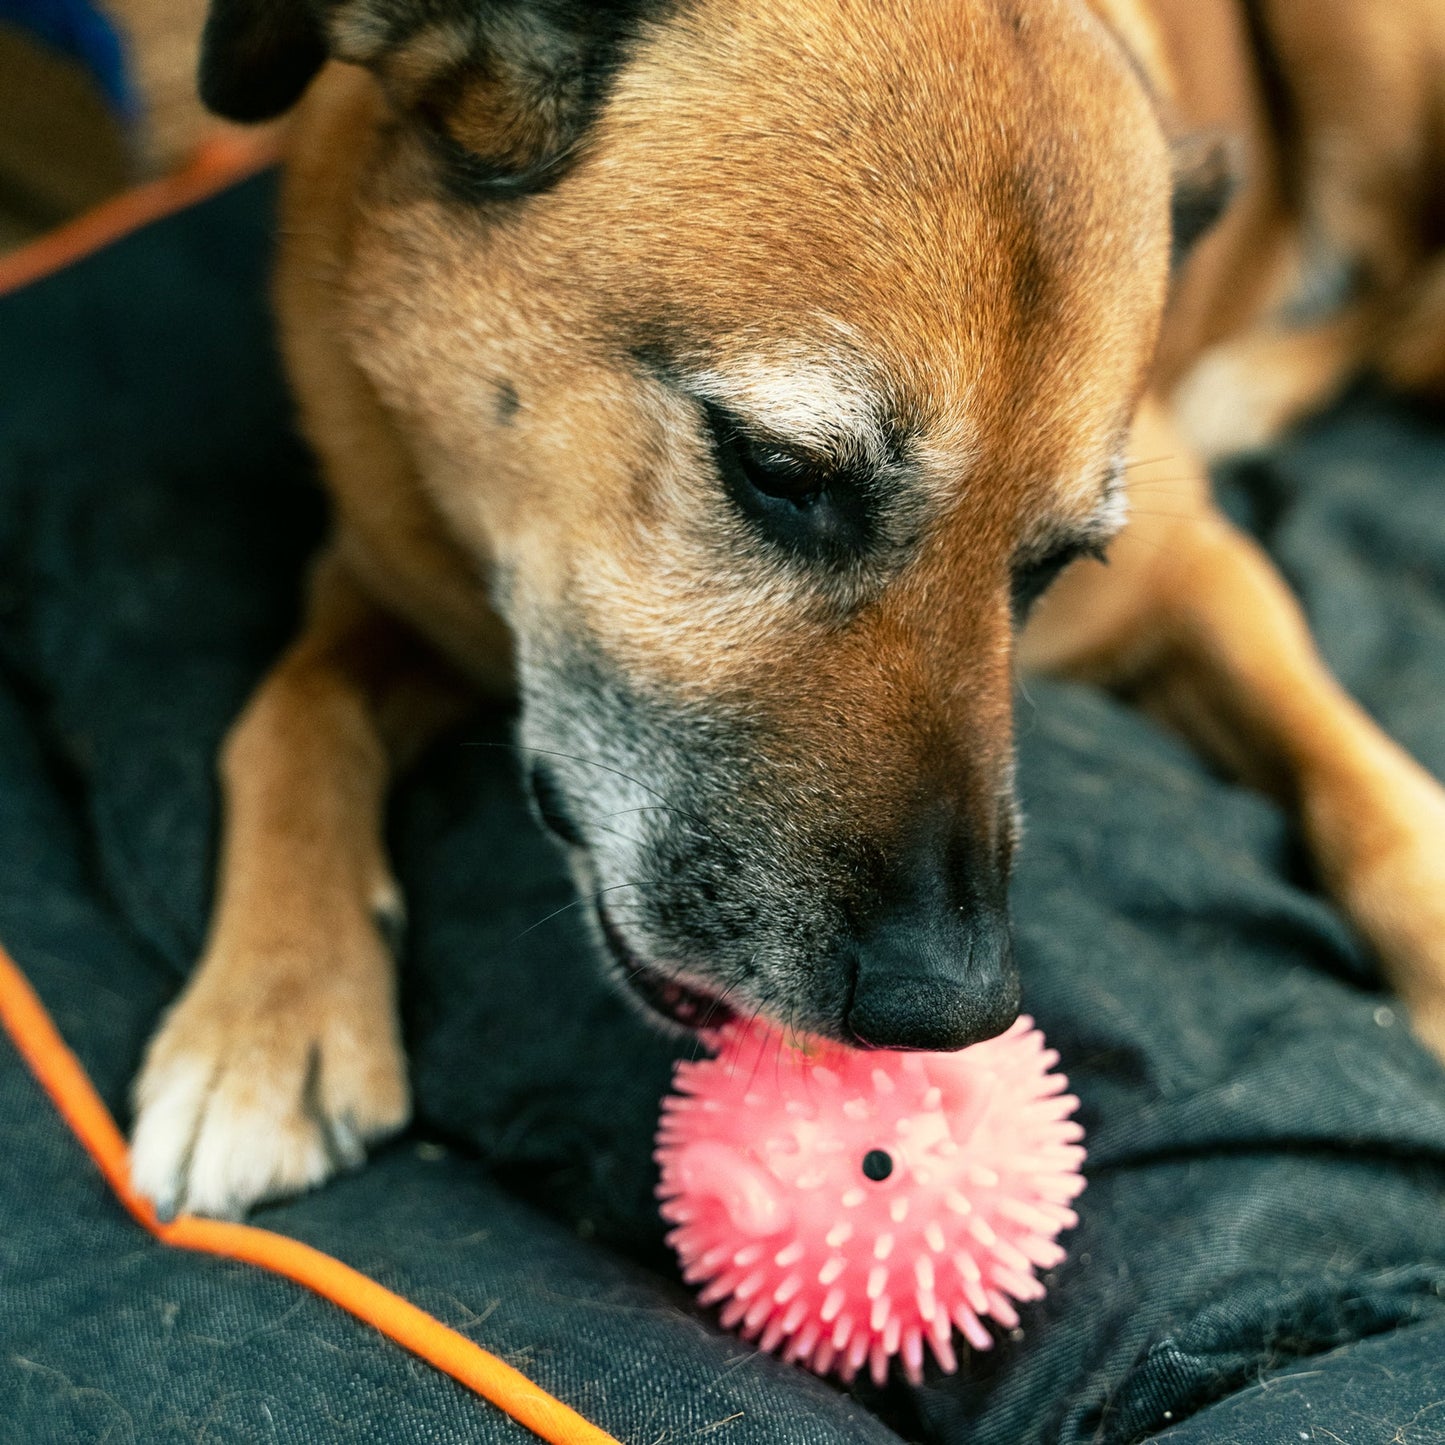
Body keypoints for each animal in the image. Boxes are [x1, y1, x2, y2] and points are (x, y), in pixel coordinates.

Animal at [127, 0, 1445, 1219]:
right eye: (776, 468)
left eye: (1053, 564)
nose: (950, 1010)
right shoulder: (386, 573)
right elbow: (292, 713)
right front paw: (268, 1012)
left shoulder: (1197, 571)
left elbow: (1356, 781)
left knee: (1403, 300)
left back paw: (1254, 380)